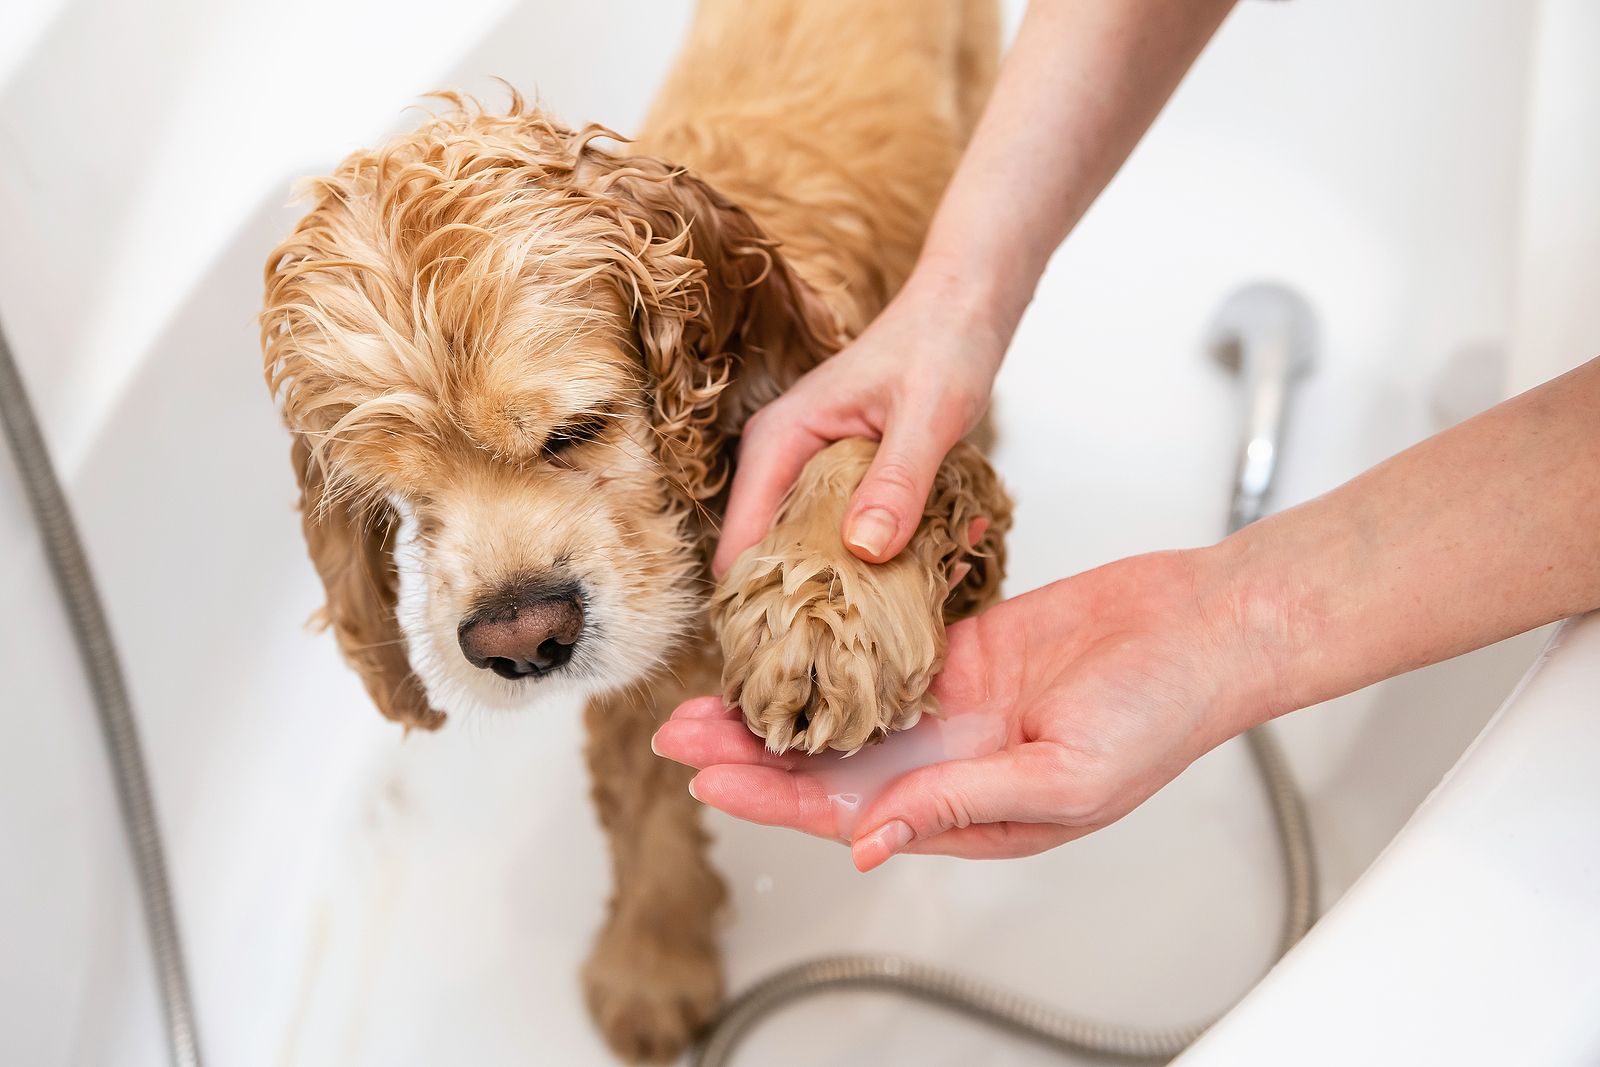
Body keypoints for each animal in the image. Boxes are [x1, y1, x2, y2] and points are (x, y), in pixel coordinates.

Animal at [262, 4, 1011, 1062]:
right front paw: (652, 966)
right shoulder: (629, 672)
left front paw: (823, 618)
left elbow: (862, 443)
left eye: (578, 428)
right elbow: (644, 812)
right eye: (400, 497)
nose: (520, 640)